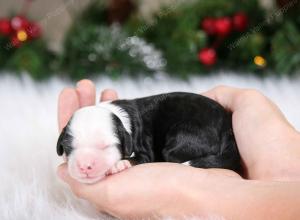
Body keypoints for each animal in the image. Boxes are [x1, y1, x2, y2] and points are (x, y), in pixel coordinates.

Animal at [56, 92, 241, 183]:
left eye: (106, 146)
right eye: (69, 148)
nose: (84, 166)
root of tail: (227, 128)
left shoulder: (144, 152)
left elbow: (136, 158)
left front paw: (119, 164)